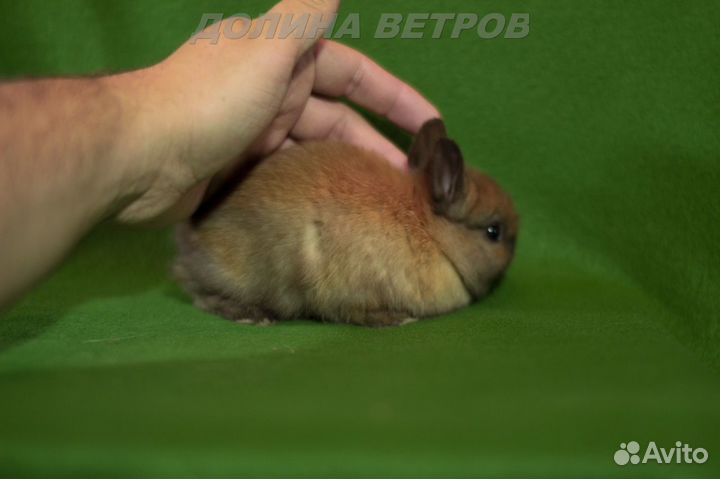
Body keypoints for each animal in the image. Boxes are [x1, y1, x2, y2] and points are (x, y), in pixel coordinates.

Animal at [173, 118, 518, 327]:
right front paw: (395, 319)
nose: (517, 244)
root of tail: (191, 238)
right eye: (494, 232)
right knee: (203, 297)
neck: (430, 231)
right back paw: (252, 315)